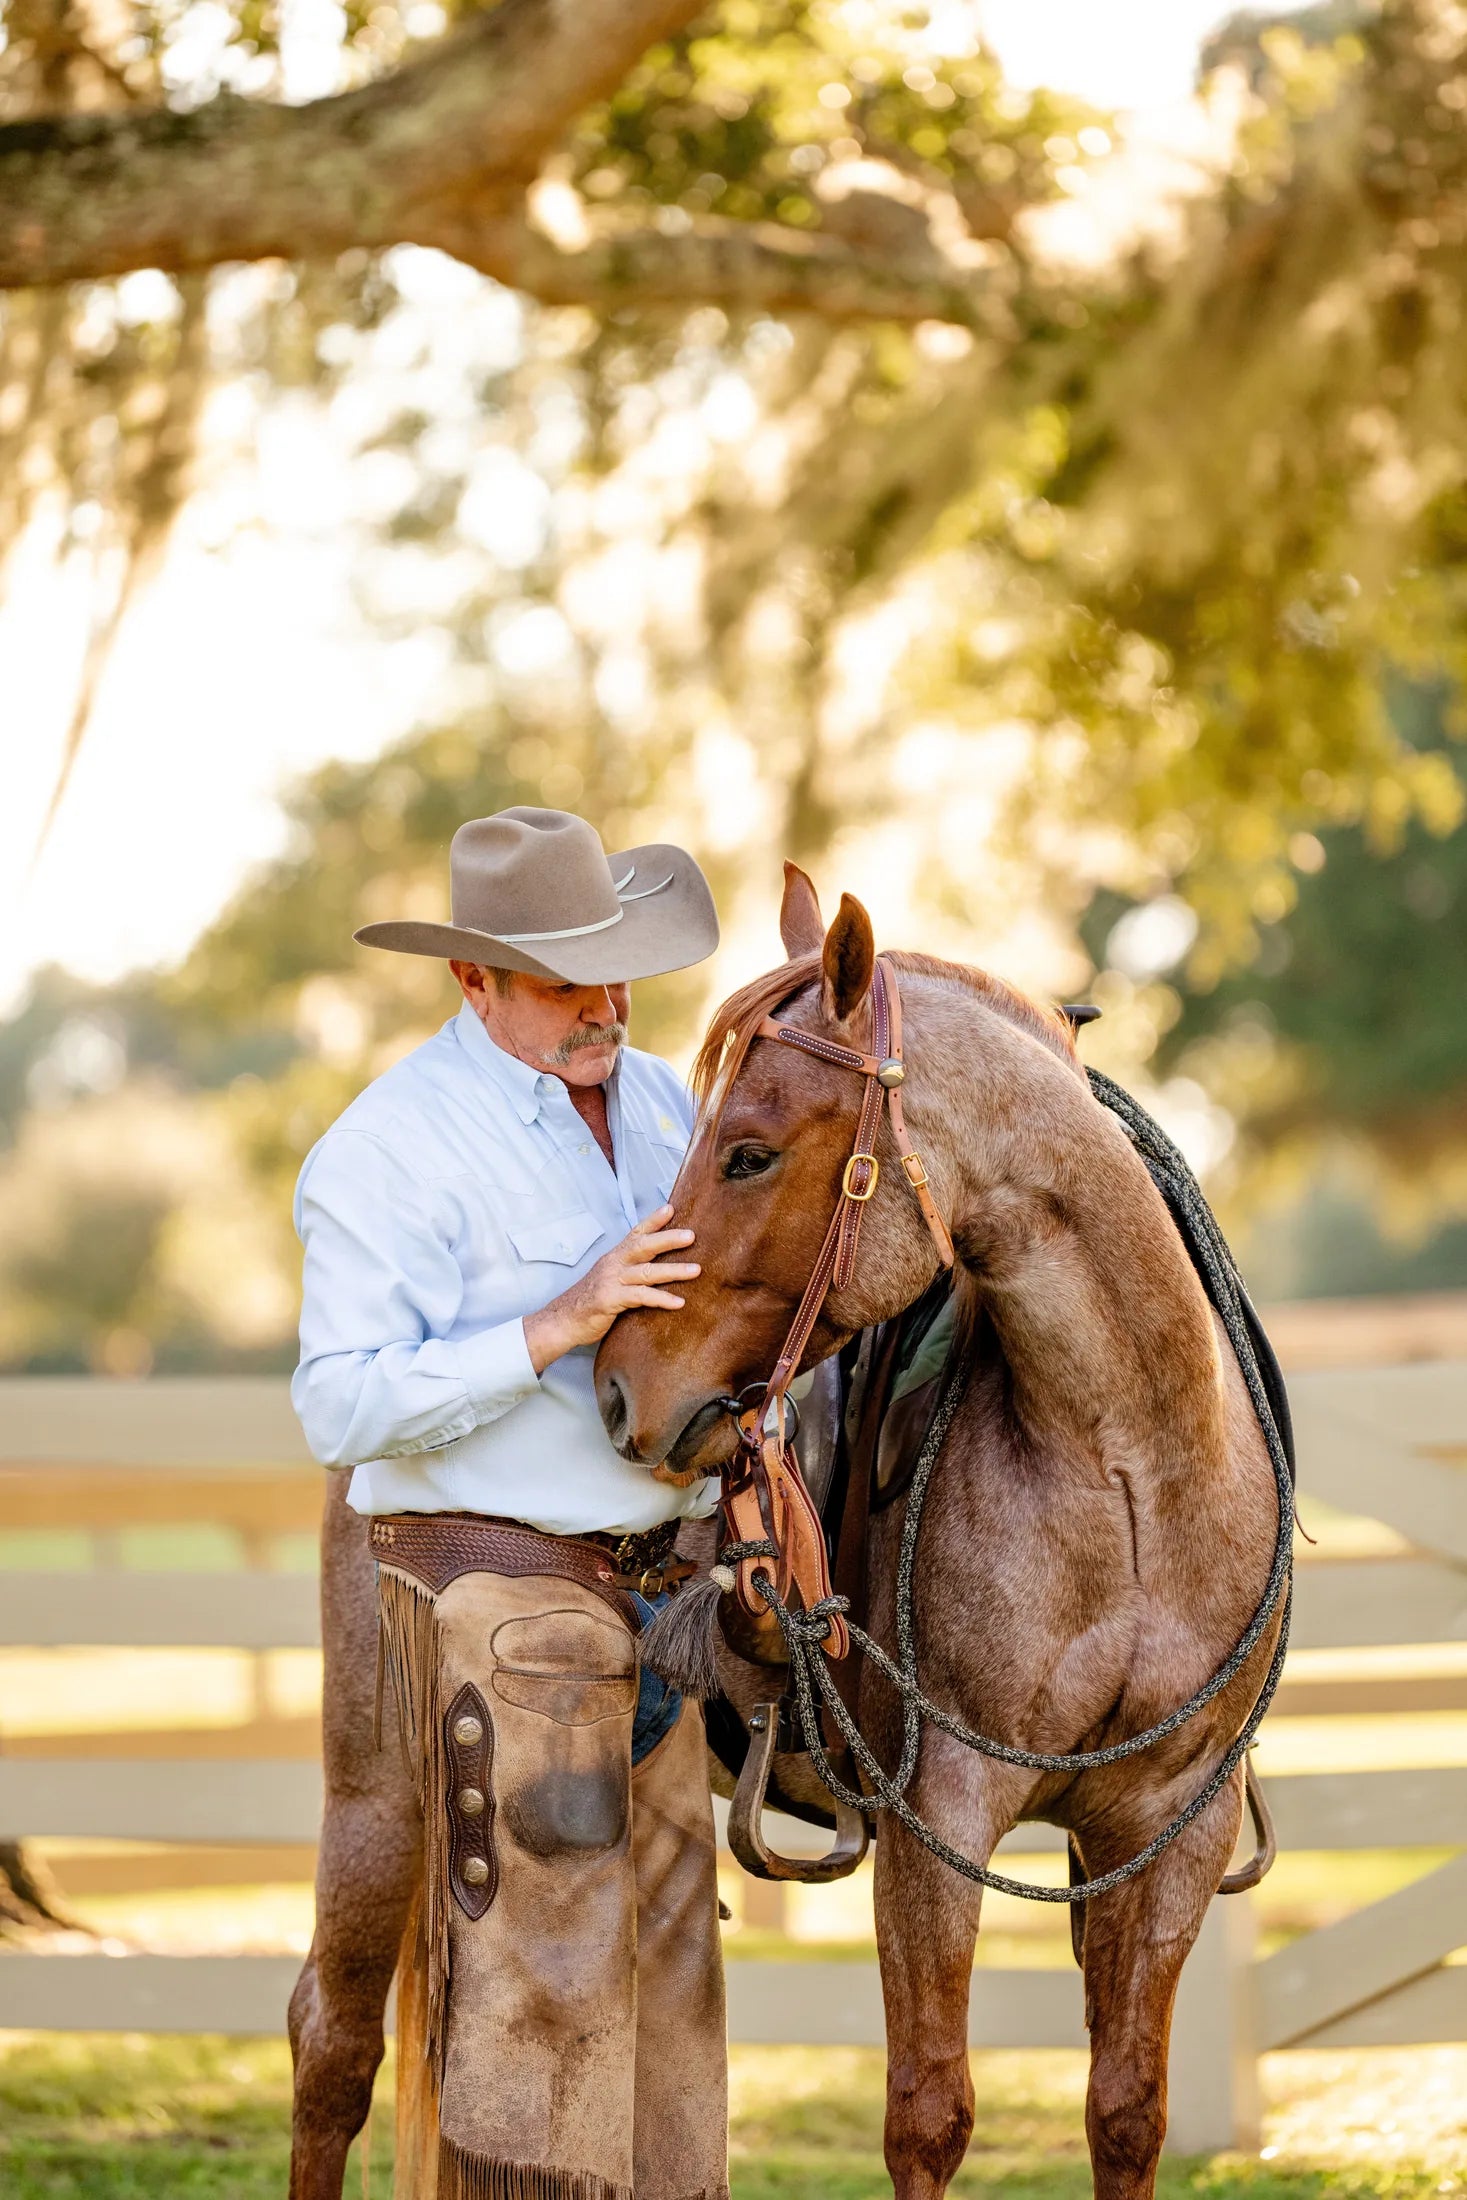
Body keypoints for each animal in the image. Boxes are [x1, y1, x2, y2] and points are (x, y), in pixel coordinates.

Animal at [593, 864, 1283, 2200]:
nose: (614, 1386)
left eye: (749, 1150)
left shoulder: (1171, 1827)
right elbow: (929, 2114)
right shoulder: (938, 1821)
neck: (1129, 1474)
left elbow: (1127, 2110)